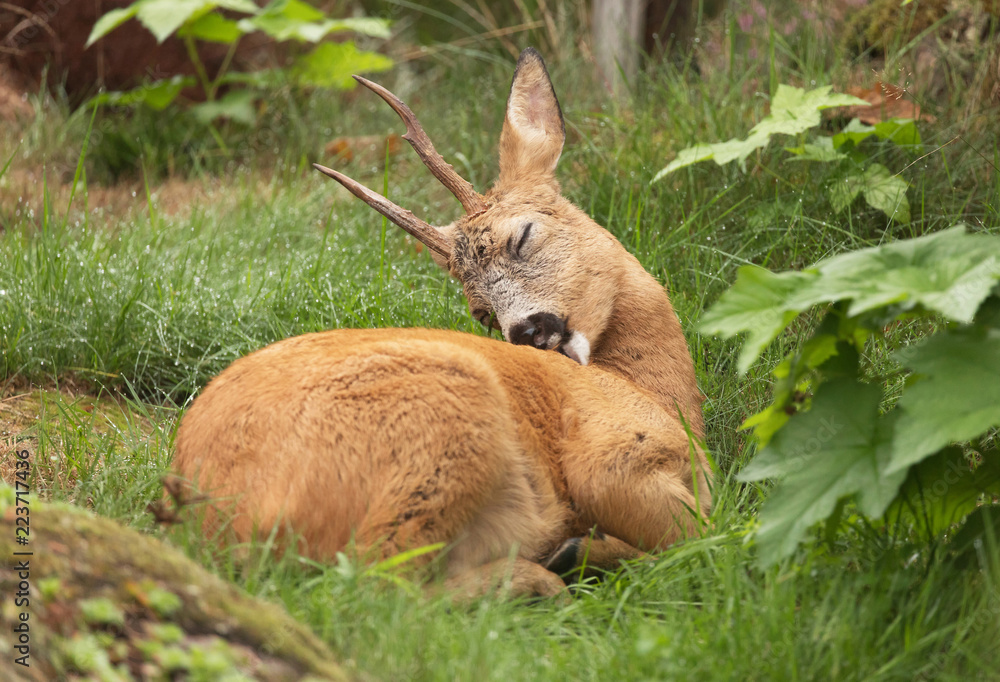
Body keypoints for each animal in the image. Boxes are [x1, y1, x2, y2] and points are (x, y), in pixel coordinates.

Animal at [172, 48, 711, 599]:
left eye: (523, 235)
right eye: (482, 312)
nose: (528, 332)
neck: (656, 395)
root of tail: (220, 517)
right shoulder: (614, 456)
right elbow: (705, 538)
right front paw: (583, 551)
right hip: (452, 419)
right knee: (377, 580)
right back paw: (544, 572)